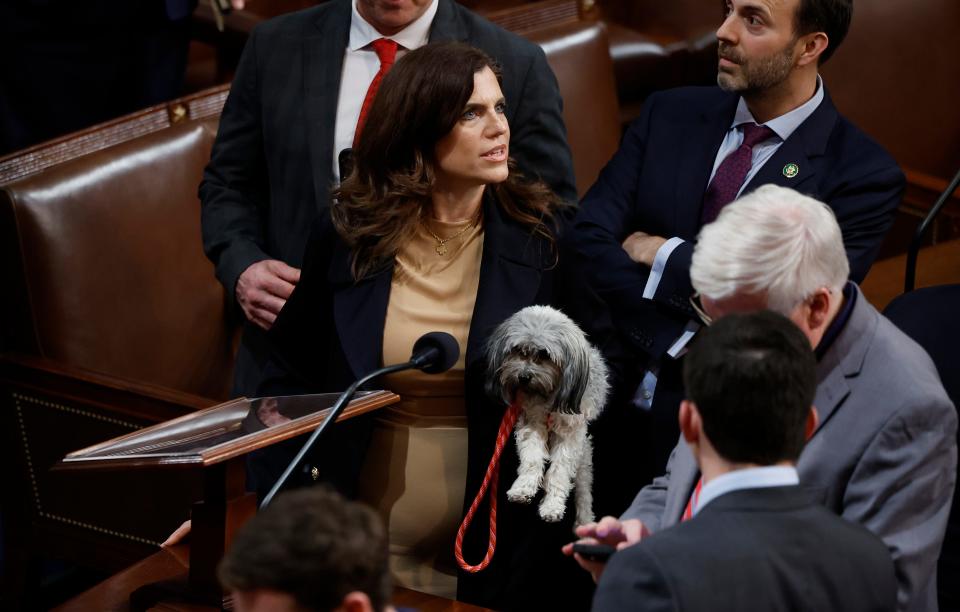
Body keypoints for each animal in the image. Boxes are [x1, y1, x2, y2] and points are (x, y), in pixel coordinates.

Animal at [488, 304, 608, 524]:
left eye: (544, 354)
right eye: (518, 350)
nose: (523, 377)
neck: (549, 397)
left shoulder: (570, 435)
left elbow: (560, 471)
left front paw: (553, 506)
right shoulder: (532, 423)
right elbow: (532, 459)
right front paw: (523, 488)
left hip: (584, 459)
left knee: (583, 491)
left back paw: (585, 521)